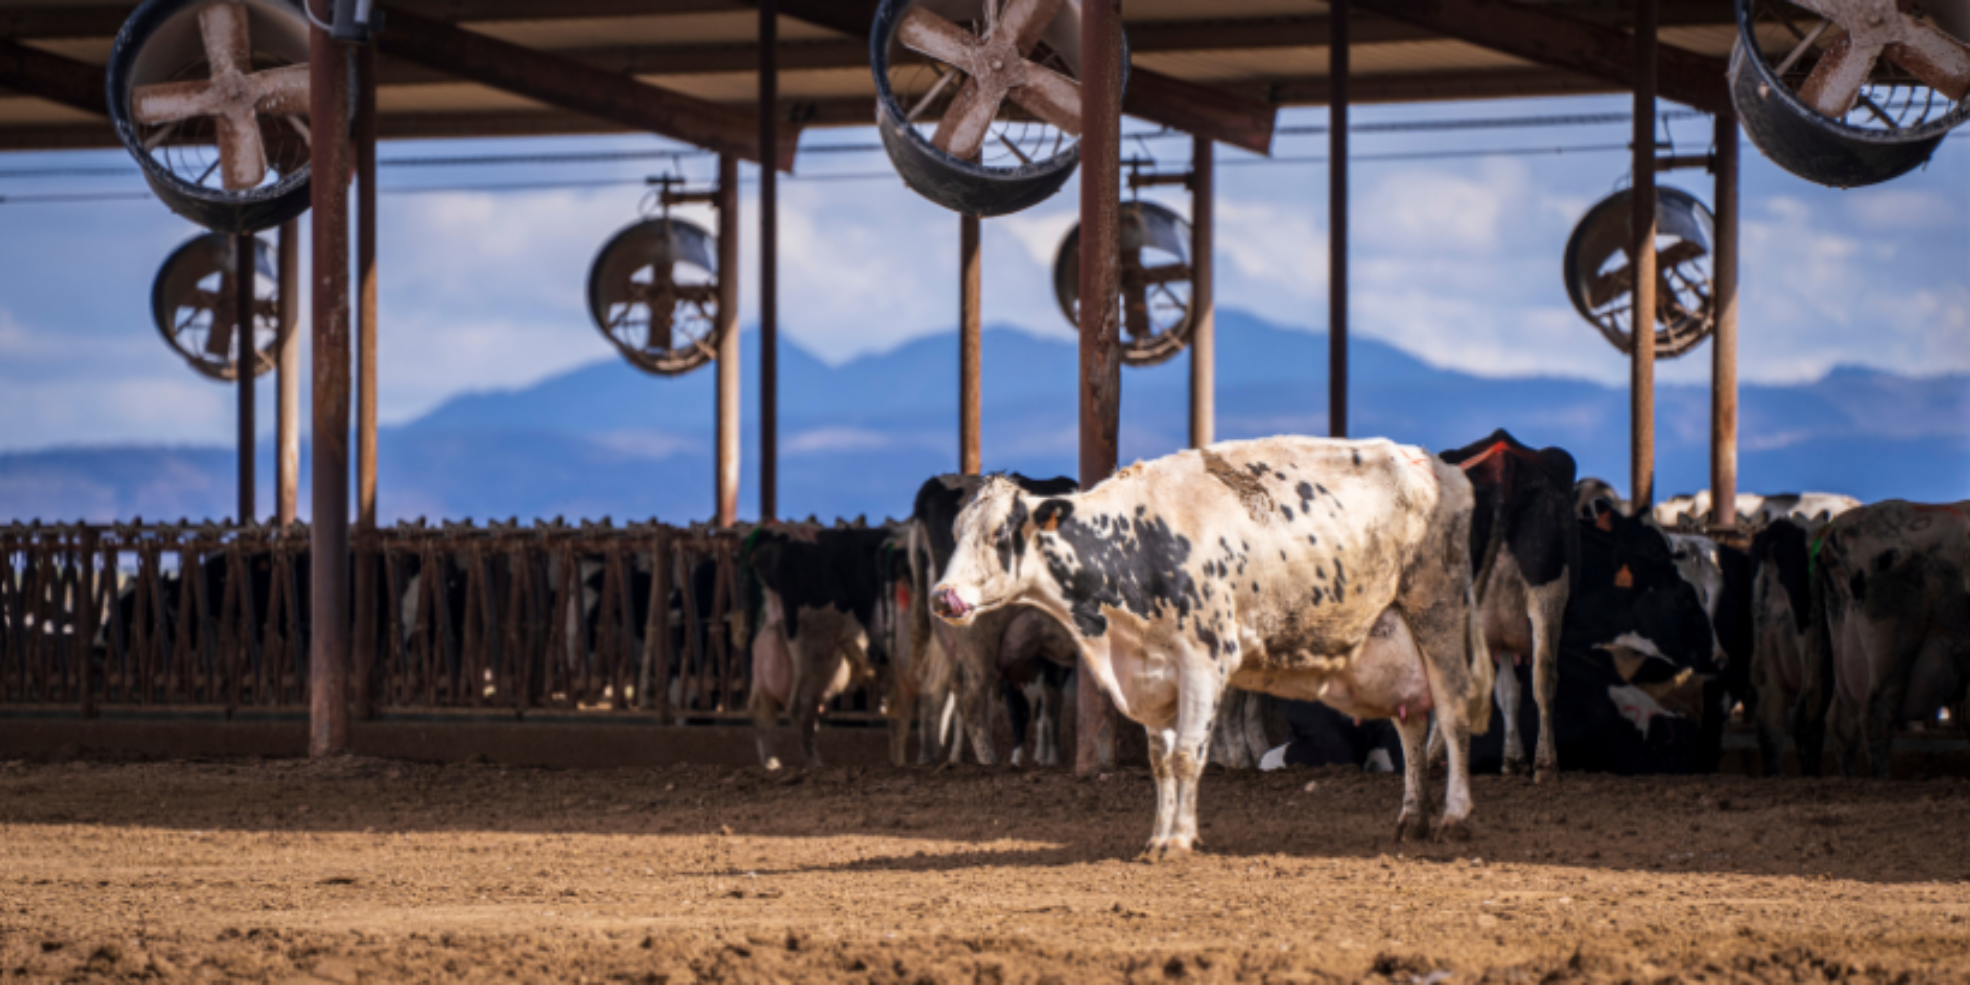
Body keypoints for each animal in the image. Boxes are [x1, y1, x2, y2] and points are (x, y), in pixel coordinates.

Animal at [744, 524, 906, 768]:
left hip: (769, 647)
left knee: (763, 710)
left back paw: (772, 764)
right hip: (819, 651)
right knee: (801, 706)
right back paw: (815, 764)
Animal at [906, 472, 1079, 764]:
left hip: (946, 635)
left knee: (934, 688)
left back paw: (932, 758)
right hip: (977, 634)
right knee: (972, 699)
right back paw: (990, 762)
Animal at [1442, 427, 1576, 780]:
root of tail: (1502, 463)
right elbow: (1509, 694)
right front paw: (1514, 760)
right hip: (1546, 588)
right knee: (1544, 674)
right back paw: (1545, 763)